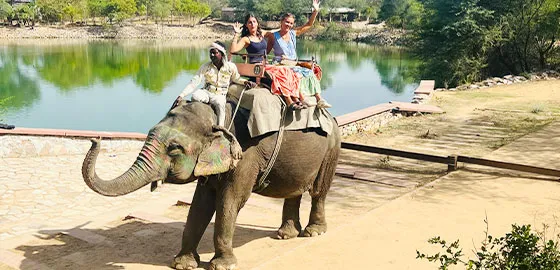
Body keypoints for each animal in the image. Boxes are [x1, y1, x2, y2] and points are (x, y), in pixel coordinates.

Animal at [80, 99, 340, 270]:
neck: (219, 116)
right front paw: (183, 264)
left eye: (174, 148)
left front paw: (222, 266)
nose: (95, 138)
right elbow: (201, 203)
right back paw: (285, 235)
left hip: (332, 149)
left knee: (319, 190)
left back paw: (313, 232)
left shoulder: (245, 155)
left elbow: (230, 200)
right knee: (294, 191)